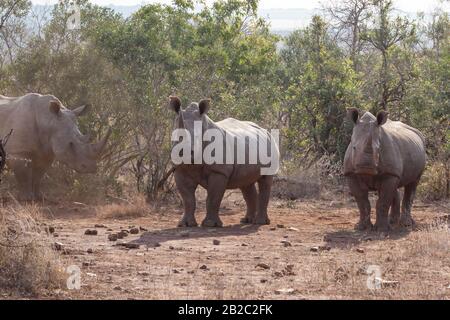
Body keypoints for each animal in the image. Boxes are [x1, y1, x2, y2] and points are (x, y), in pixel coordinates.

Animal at [169, 95, 280, 228]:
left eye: (197, 138)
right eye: (176, 137)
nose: (183, 152)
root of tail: (265, 130)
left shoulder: (219, 172)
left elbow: (213, 198)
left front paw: (210, 224)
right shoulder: (179, 170)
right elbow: (188, 199)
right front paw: (186, 224)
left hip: (271, 145)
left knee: (265, 180)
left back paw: (260, 222)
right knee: (246, 184)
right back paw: (246, 220)